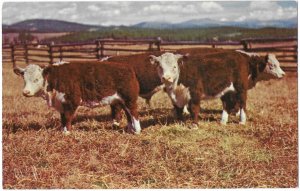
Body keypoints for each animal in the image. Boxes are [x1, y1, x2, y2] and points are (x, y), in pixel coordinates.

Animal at [12, 61, 142, 134]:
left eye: (37, 79)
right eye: (24, 79)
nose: (26, 92)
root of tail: (128, 68)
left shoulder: (72, 100)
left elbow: (68, 117)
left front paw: (67, 133)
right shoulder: (61, 103)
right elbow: (63, 118)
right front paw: (63, 130)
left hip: (130, 98)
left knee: (134, 113)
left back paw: (137, 131)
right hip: (122, 100)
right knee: (128, 114)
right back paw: (130, 129)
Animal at [150, 50, 286, 125]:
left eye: (174, 66)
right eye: (160, 66)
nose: (166, 78)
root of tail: (240, 55)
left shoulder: (195, 93)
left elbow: (194, 108)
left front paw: (194, 125)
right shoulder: (174, 97)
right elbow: (178, 110)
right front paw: (179, 123)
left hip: (241, 88)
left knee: (242, 103)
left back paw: (242, 121)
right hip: (227, 90)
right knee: (226, 104)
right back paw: (223, 121)